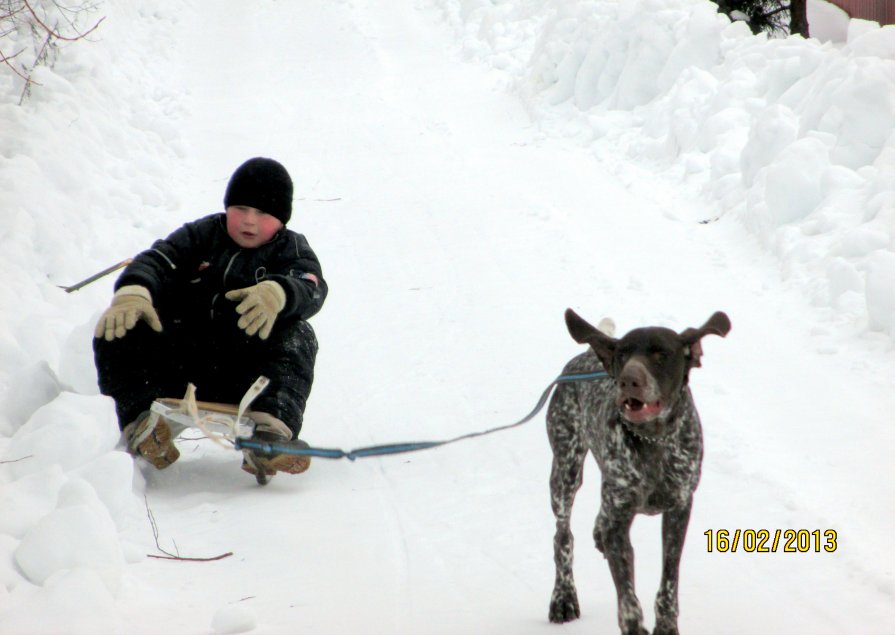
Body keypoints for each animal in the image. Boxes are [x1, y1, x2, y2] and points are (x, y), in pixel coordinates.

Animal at [544, 306, 728, 632]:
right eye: (623, 354)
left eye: (661, 354)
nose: (628, 379)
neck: (653, 439)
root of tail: (585, 355)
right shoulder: (619, 521)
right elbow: (627, 597)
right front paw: (633, 625)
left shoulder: (679, 510)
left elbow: (669, 581)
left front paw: (666, 626)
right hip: (565, 472)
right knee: (562, 537)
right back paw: (563, 597)